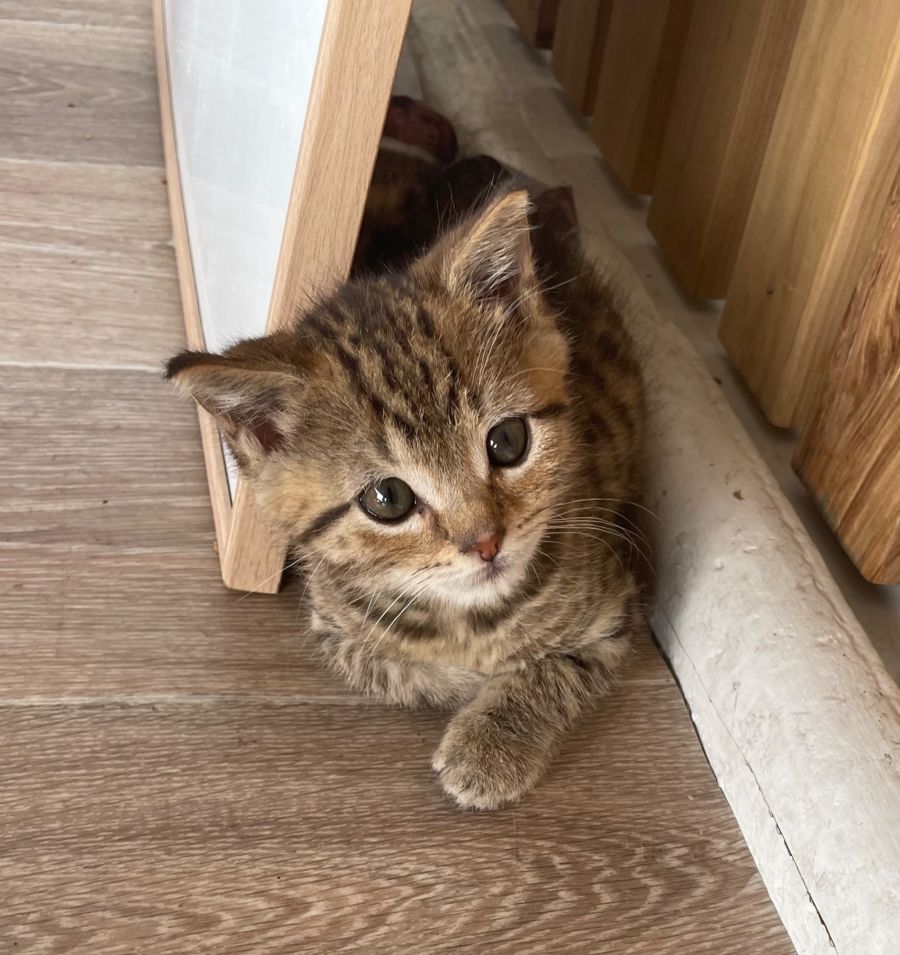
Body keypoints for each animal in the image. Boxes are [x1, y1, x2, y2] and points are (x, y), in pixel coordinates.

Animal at [166, 181, 647, 811]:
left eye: (508, 441)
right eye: (387, 498)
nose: (486, 542)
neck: (467, 619)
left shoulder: (614, 606)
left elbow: (556, 666)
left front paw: (492, 743)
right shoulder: (333, 625)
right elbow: (398, 669)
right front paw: (465, 685)